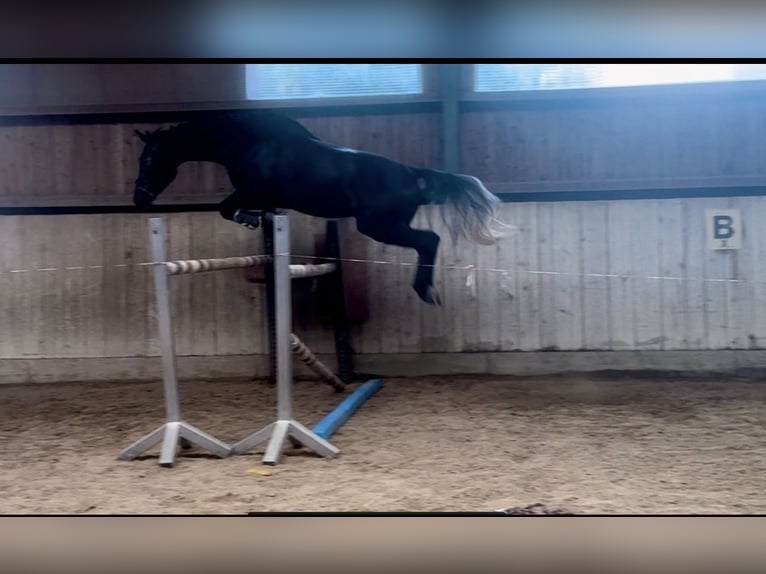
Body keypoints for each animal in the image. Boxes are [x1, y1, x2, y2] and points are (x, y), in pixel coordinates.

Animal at [134, 111, 508, 306]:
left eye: (149, 158)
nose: (139, 198)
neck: (249, 142)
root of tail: (409, 173)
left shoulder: (251, 191)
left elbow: (226, 208)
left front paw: (250, 219)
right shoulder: (263, 195)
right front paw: (262, 220)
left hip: (379, 225)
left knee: (429, 240)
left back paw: (425, 291)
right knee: (428, 241)